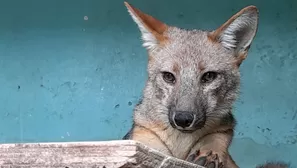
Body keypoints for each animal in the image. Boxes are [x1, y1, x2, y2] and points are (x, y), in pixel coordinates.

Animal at [121, 1, 288, 168]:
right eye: (168, 76)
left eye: (209, 76)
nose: (183, 119)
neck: (181, 147)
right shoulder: (142, 137)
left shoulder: (222, 132)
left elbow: (215, 139)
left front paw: (208, 154)